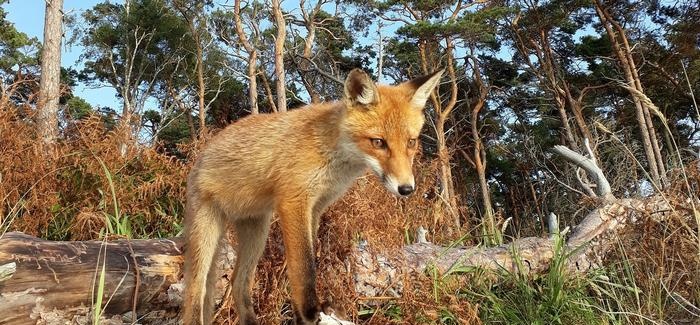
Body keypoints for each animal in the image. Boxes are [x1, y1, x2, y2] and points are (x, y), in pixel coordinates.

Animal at [180, 67, 442, 322]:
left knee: (238, 284)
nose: (406, 189)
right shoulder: (294, 201)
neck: (331, 153)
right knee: (195, 295)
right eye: (378, 142)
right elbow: (304, 266)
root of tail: (201, 156)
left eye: (411, 142)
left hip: (257, 233)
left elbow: (310, 259)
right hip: (206, 235)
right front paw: (309, 311)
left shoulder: (316, 207)